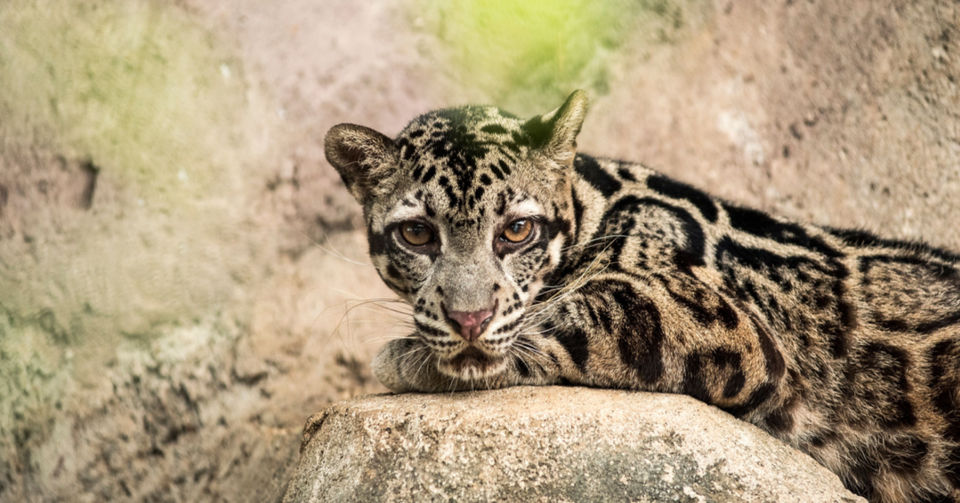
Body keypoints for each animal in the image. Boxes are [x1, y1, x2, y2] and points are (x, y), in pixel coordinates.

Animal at [324, 91, 960, 503]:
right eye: (416, 234)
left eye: (517, 230)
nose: (469, 318)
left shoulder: (716, 319)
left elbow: (574, 312)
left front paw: (409, 355)